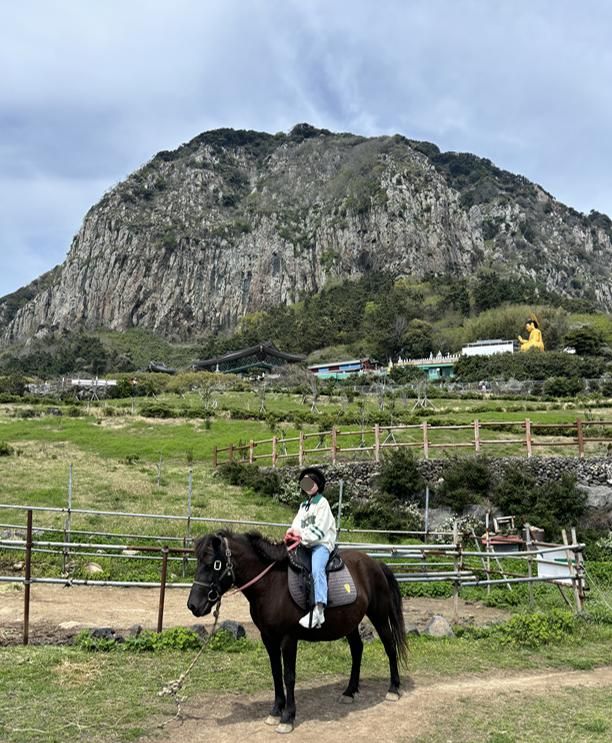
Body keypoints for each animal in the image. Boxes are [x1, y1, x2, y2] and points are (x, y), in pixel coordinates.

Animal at [186, 532, 406, 736]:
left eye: (214, 564)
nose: (193, 605)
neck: (272, 584)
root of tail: (376, 563)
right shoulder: (268, 638)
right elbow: (276, 673)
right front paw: (275, 711)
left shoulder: (288, 639)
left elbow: (289, 676)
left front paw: (287, 718)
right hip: (350, 623)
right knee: (357, 650)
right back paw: (349, 692)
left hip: (379, 615)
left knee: (389, 645)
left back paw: (393, 689)